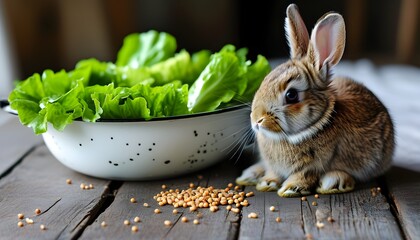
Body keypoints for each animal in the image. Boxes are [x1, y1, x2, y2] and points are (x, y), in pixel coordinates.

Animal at [236, 4, 394, 197]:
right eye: (265, 79)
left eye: (291, 95)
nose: (256, 120)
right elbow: (273, 172)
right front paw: (266, 183)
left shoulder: (313, 167)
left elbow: (304, 176)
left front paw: (290, 189)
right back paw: (250, 175)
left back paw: (334, 182)